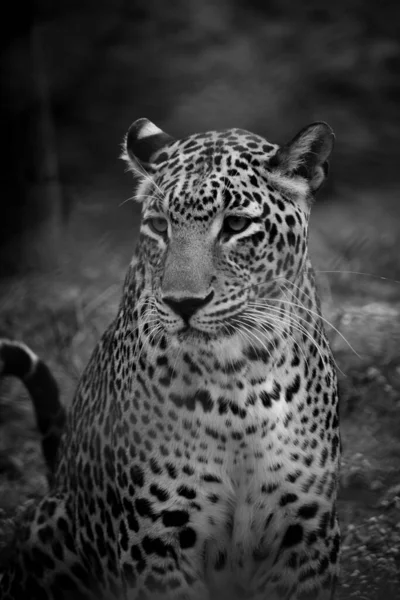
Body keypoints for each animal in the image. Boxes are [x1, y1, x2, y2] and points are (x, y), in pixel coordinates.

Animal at [0, 117, 340, 600]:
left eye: (236, 224)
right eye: (160, 226)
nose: (183, 302)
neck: (241, 384)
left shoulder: (307, 534)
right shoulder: (154, 543)